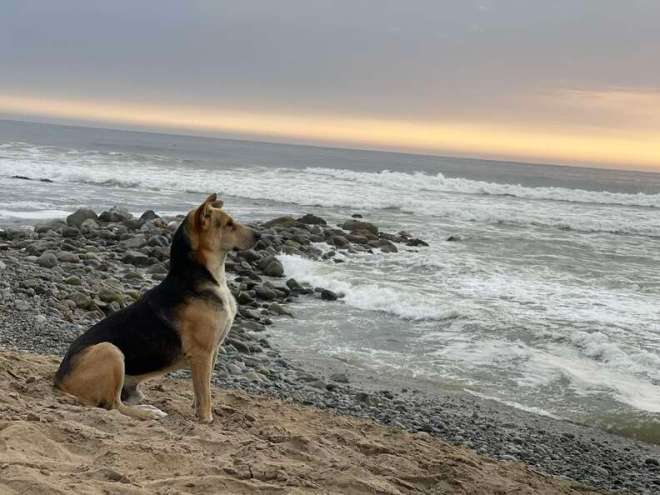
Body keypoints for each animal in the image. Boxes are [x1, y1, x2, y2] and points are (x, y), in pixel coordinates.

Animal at [54, 194, 258, 422]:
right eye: (229, 224)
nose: (259, 236)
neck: (203, 276)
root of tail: (59, 378)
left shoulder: (212, 352)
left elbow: (201, 390)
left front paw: (197, 410)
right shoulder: (202, 353)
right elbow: (205, 393)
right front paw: (206, 419)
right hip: (110, 350)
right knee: (114, 405)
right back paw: (149, 412)